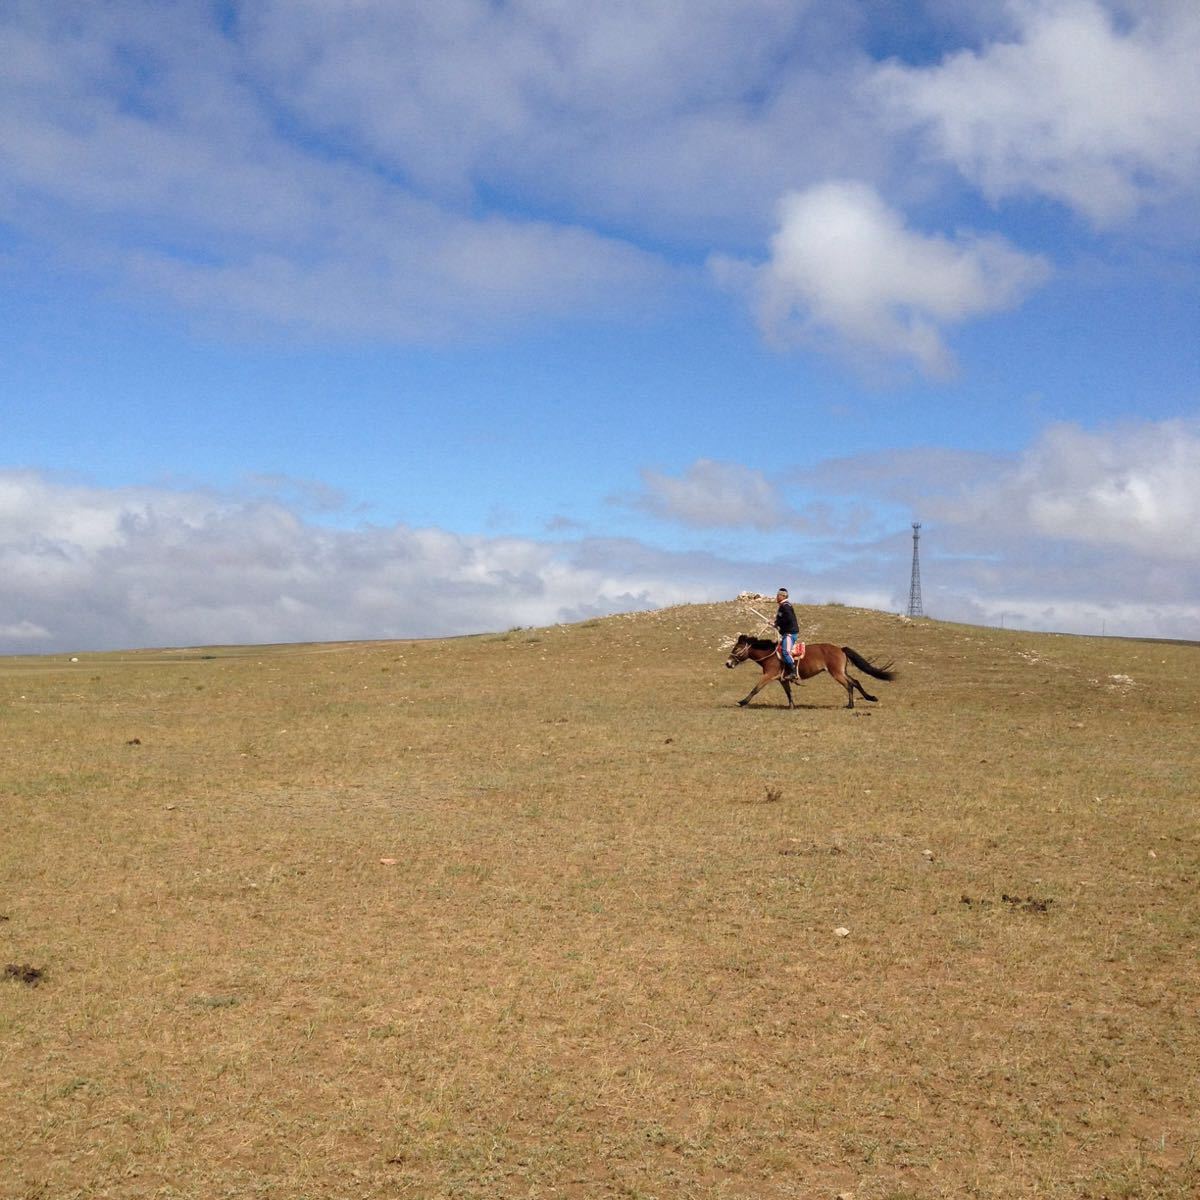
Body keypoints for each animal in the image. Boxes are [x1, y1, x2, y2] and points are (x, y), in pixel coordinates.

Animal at [724, 633, 897, 705]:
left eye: (737, 648)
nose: (728, 663)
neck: (770, 654)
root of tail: (840, 649)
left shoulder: (769, 675)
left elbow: (755, 689)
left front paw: (742, 702)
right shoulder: (782, 679)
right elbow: (789, 693)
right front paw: (792, 707)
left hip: (836, 673)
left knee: (849, 684)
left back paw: (850, 705)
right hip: (841, 671)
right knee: (855, 681)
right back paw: (870, 698)